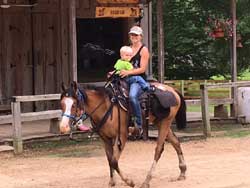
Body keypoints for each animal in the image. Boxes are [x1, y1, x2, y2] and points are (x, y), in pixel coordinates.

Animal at [59, 81, 187, 188]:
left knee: (159, 149)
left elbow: (114, 161)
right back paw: (182, 172)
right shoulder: (105, 139)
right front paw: (112, 182)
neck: (105, 108)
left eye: (74, 104)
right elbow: (110, 160)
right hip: (160, 122)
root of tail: (172, 90)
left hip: (165, 122)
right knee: (176, 142)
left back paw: (146, 181)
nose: (63, 127)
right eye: (61, 104)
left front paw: (129, 182)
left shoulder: (121, 136)